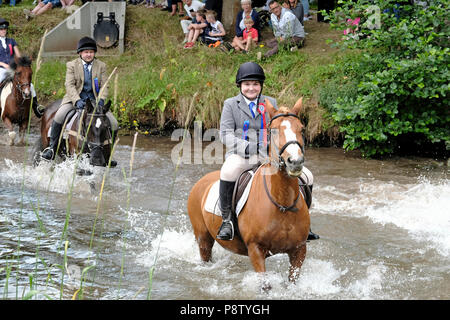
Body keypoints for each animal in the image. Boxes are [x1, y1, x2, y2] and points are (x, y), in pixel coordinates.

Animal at [186, 97, 310, 284]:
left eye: (301, 129)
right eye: (273, 130)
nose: (295, 161)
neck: (282, 202)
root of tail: (202, 181)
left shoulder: (299, 250)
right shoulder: (255, 249)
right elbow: (265, 285)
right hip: (203, 239)